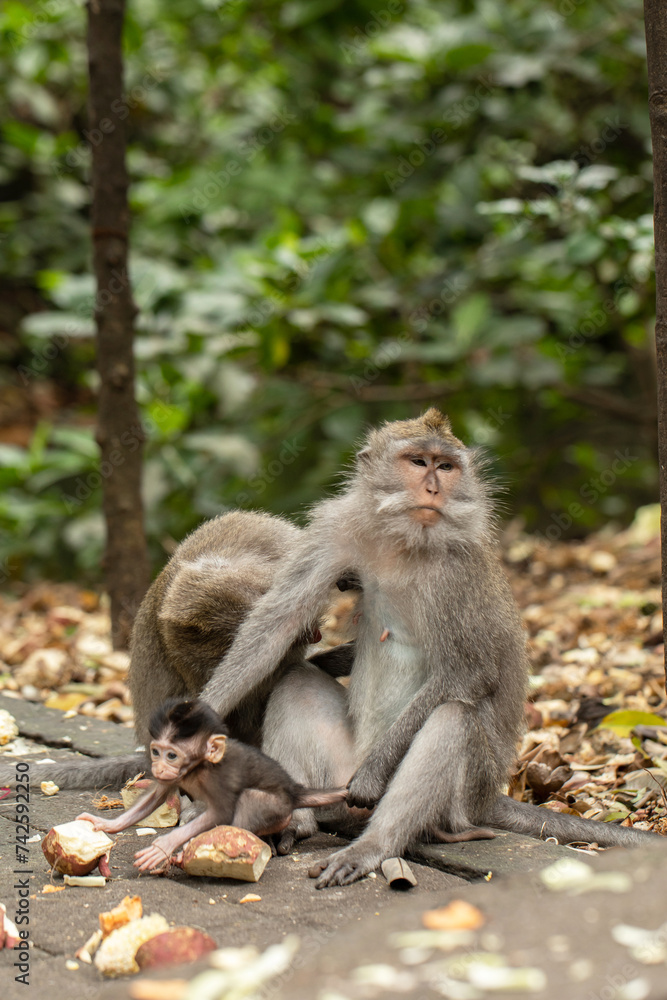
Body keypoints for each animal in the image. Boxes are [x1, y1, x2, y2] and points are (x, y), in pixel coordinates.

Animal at [76, 698, 348, 872]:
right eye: (156, 752)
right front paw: (107, 824)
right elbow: (156, 797)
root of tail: (293, 791)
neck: (198, 768)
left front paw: (164, 846)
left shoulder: (219, 778)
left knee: (248, 802)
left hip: (277, 807)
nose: (158, 768)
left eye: (171, 755)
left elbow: (221, 813)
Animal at [196, 408, 661, 886]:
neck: (405, 541)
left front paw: (374, 775)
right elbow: (278, 623)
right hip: (337, 773)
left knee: (452, 719)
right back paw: (298, 820)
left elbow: (469, 672)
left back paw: (376, 845)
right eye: (418, 461)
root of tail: (489, 799)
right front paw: (192, 724)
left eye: (447, 466)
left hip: (464, 795)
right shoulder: (337, 528)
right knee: (294, 681)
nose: (434, 488)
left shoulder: (455, 572)